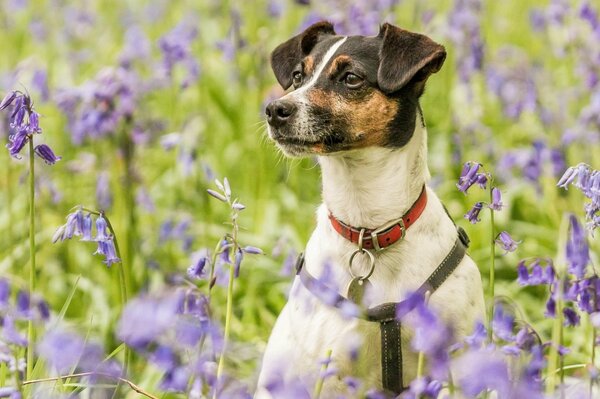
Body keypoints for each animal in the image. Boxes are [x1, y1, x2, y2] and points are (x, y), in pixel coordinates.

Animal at [258, 22, 488, 399]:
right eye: (298, 76)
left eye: (351, 77)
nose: (275, 110)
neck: (371, 230)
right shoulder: (332, 372)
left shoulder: (456, 364)